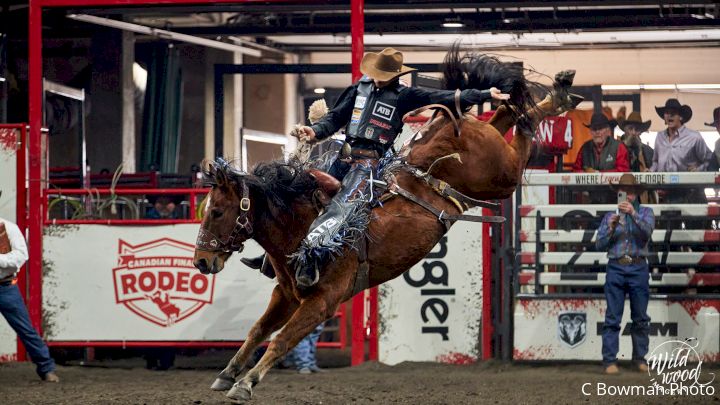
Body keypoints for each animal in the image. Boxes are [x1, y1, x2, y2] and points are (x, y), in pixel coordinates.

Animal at [190, 45, 580, 400]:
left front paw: (245, 383)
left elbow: (282, 339)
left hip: (502, 176)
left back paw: (557, 95)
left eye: (217, 211)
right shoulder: (285, 294)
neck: (300, 227)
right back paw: (551, 94)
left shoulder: (322, 301)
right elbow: (257, 330)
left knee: (522, 128)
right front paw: (227, 373)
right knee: (504, 111)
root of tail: (449, 125)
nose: (201, 261)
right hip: (490, 151)